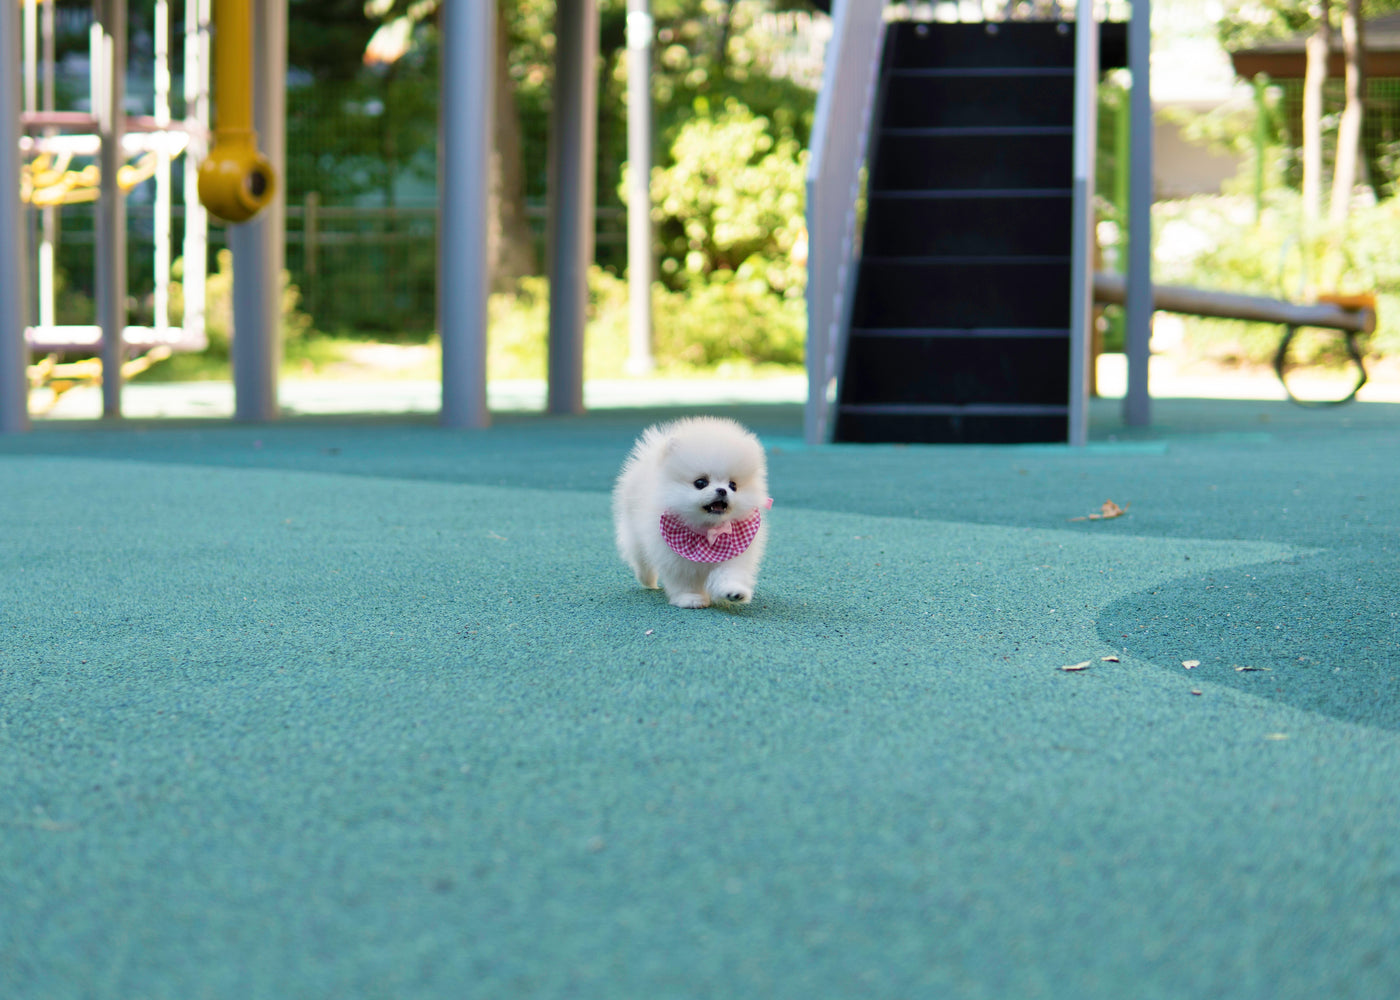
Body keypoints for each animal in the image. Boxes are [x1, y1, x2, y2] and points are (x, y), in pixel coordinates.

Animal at [610, 414, 772, 607]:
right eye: (701, 483)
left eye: (733, 485)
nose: (722, 490)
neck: (708, 531)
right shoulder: (674, 559)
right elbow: (684, 580)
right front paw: (690, 598)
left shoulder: (733, 551)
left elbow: (729, 573)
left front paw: (733, 592)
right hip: (634, 533)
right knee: (641, 559)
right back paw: (647, 581)